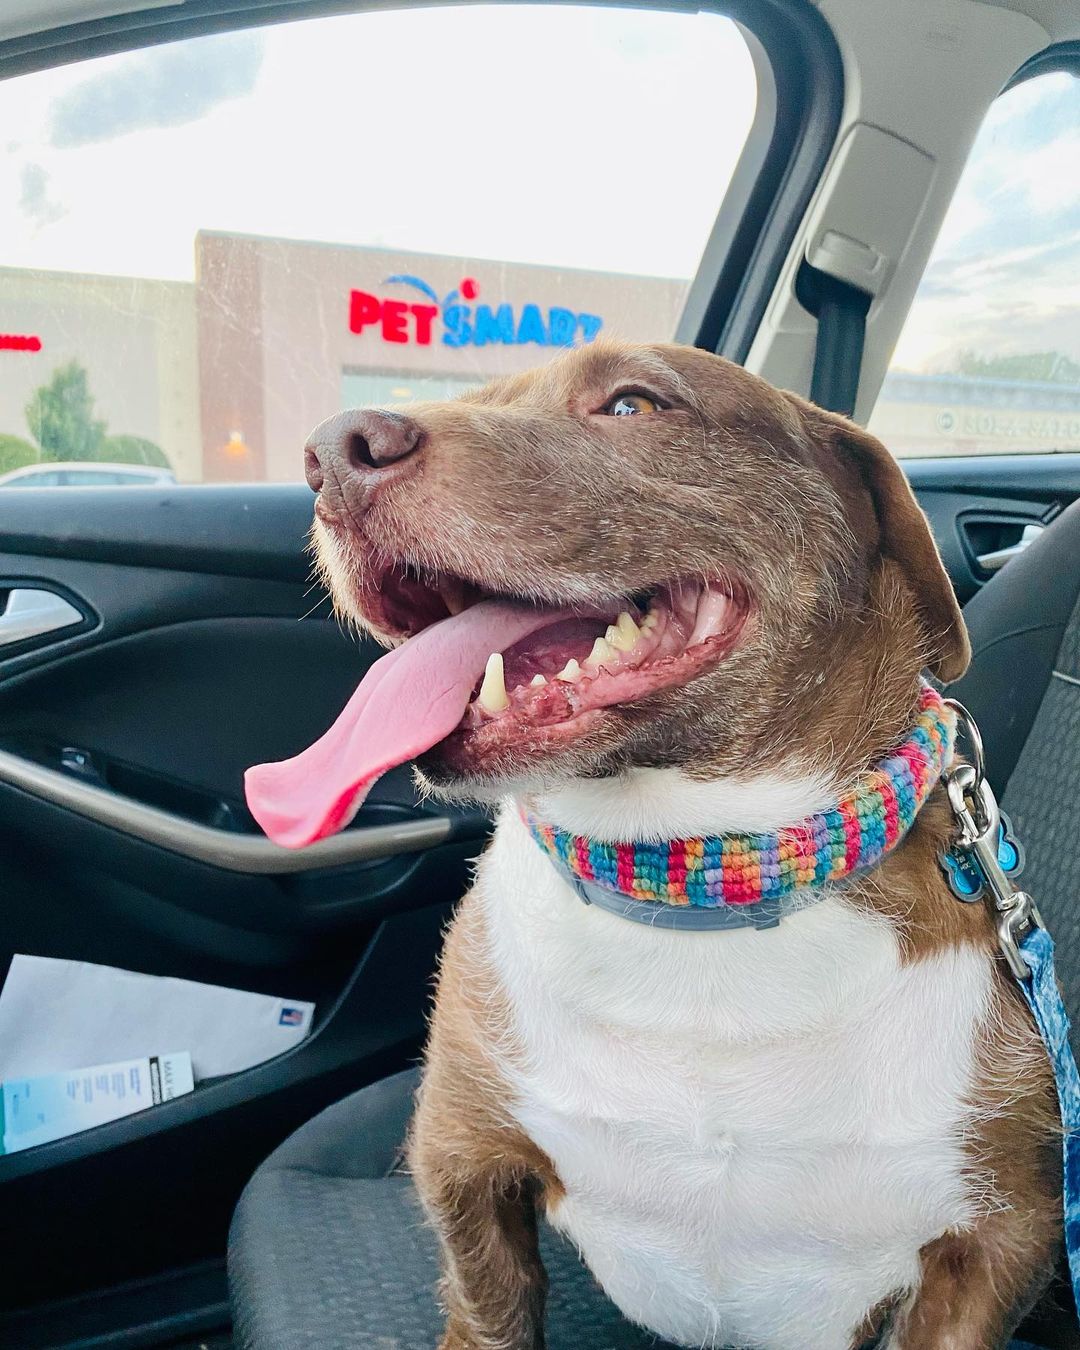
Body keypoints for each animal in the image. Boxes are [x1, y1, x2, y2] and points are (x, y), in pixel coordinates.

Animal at [247, 342, 1063, 1350]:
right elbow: (488, 1305)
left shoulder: (1001, 1237)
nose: (332, 451)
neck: (691, 881)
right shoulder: (463, 1160)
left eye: (633, 404)